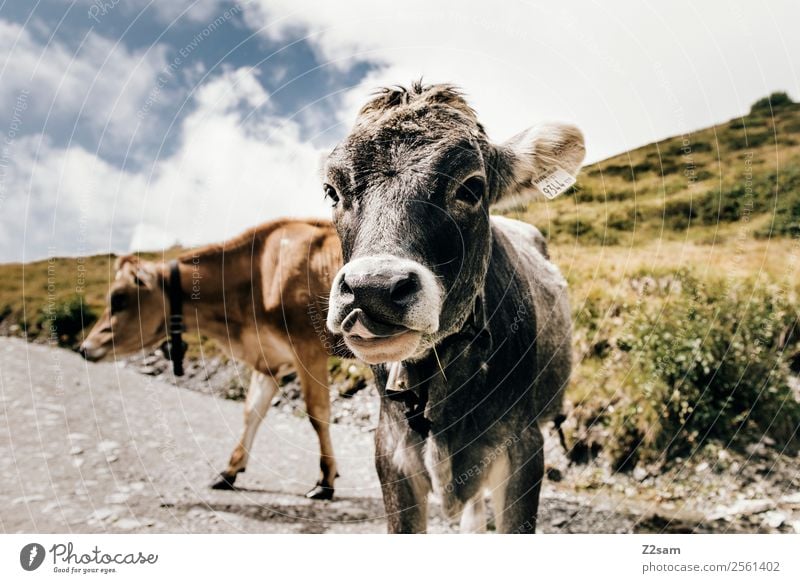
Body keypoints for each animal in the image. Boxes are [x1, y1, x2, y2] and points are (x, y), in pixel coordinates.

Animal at [79, 217, 346, 500]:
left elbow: (317, 414)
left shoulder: (308, 349)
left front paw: (325, 480)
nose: (84, 347)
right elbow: (252, 412)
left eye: (119, 299)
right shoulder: (269, 360)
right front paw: (229, 471)